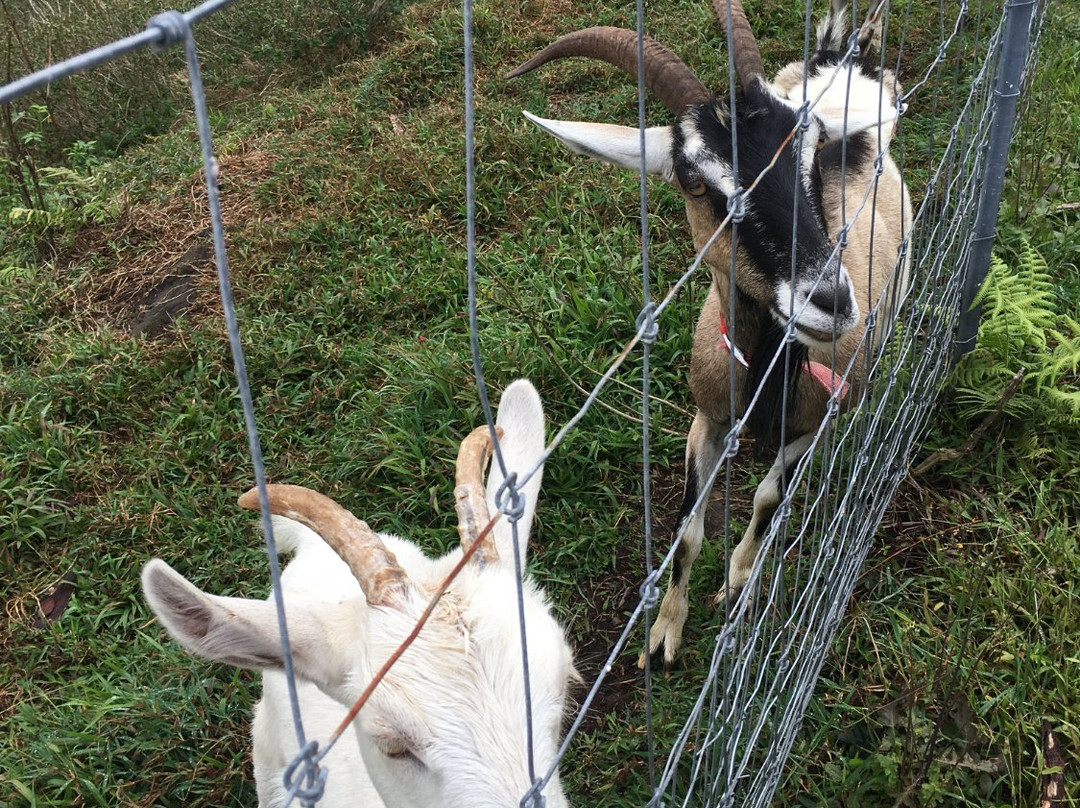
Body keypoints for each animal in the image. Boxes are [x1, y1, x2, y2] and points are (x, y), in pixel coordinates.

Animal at [505, 1, 911, 669]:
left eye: (809, 148)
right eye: (695, 182)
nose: (830, 301)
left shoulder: (815, 426)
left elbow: (768, 500)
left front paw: (738, 581)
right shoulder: (707, 418)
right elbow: (688, 530)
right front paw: (663, 633)